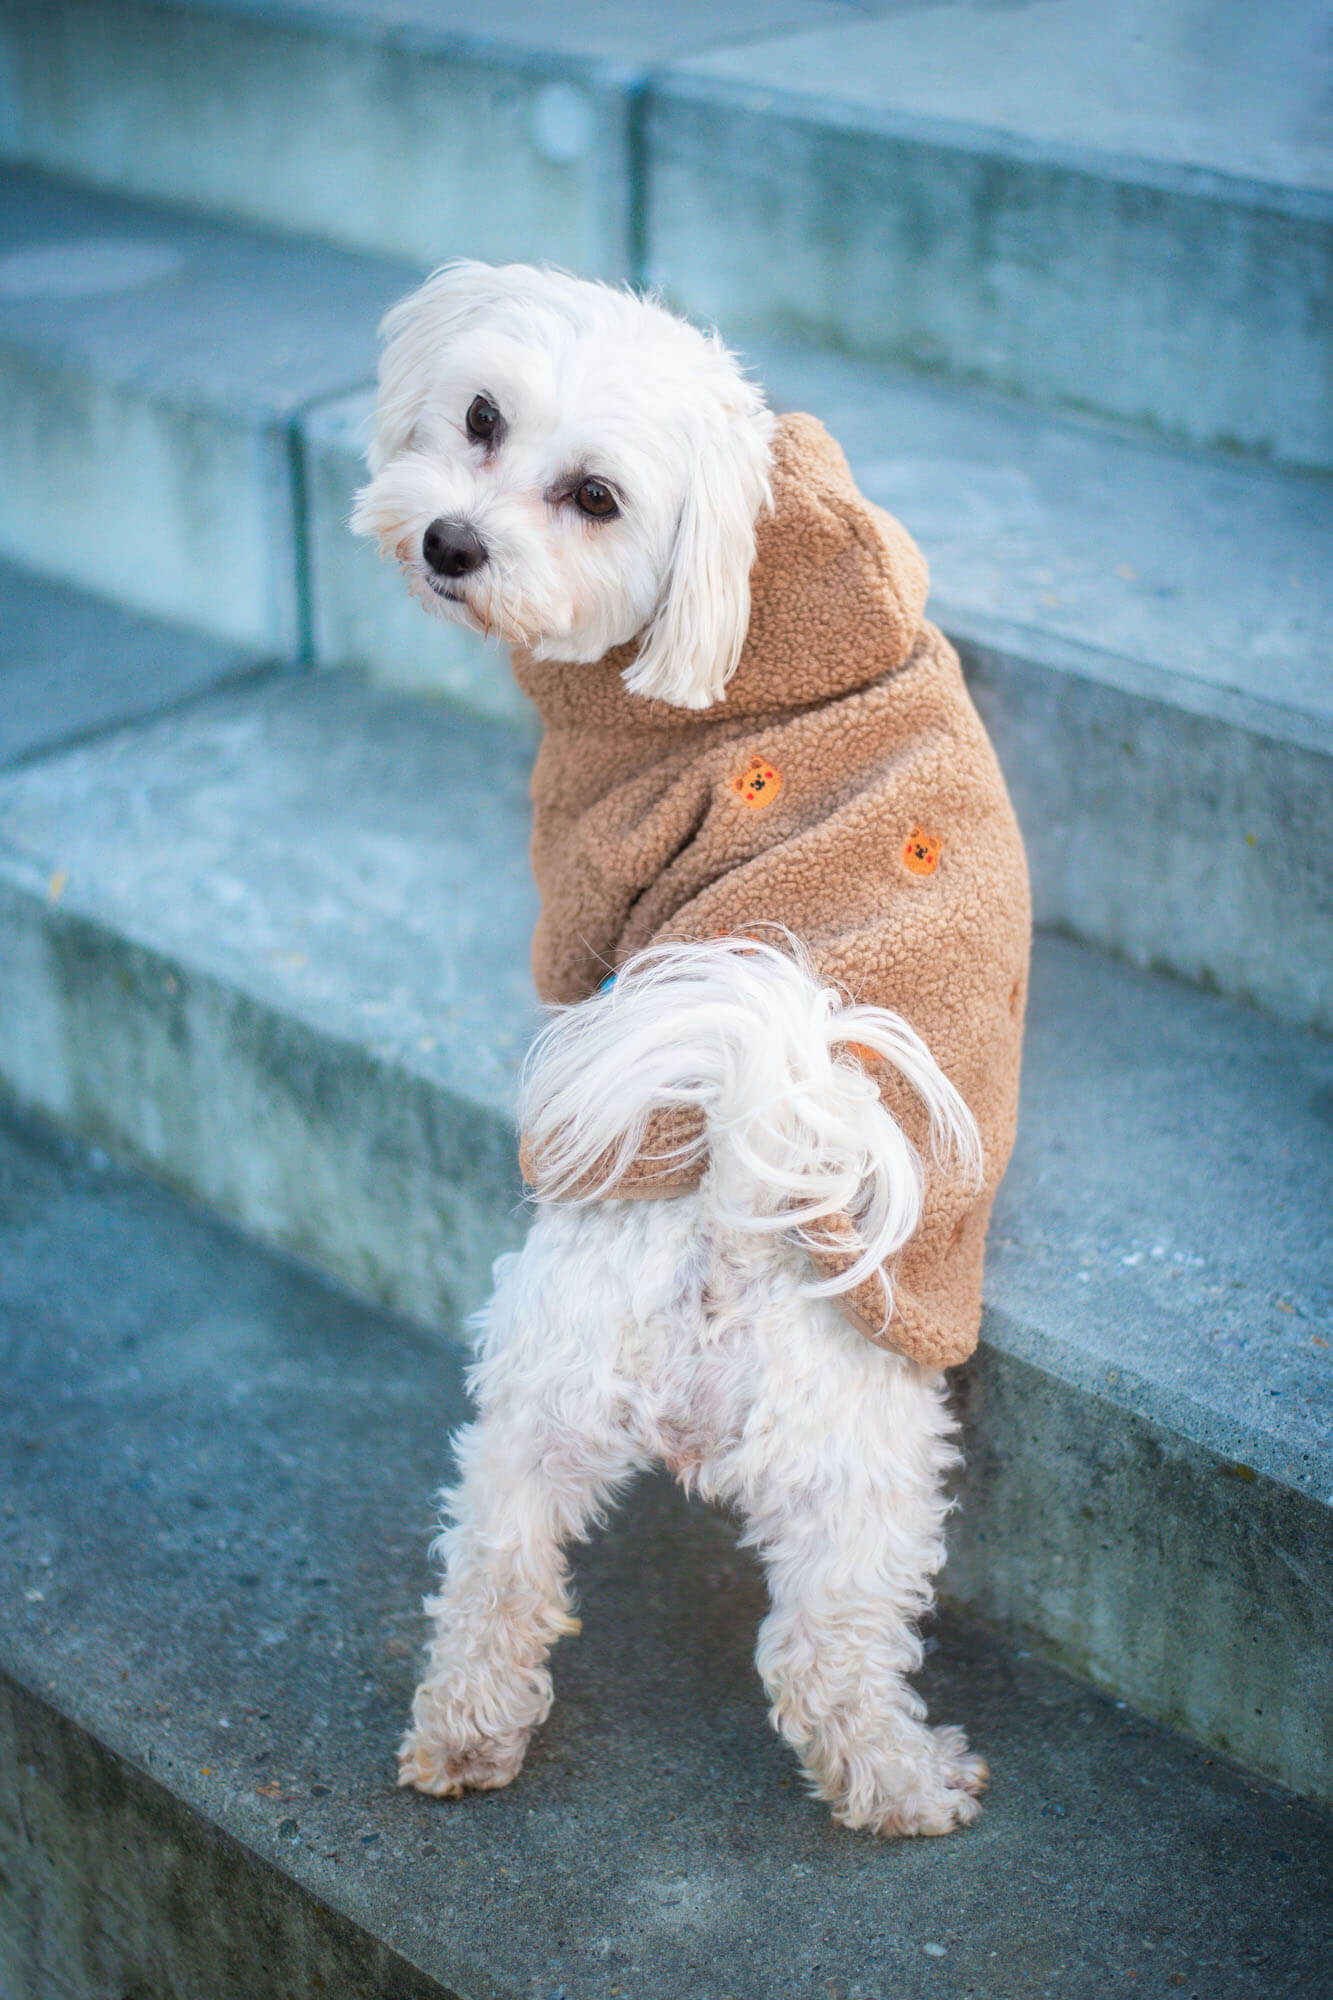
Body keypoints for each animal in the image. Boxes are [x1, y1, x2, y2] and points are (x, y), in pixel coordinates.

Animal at [350, 266, 1016, 1840]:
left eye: (594, 496)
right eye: (480, 418)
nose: (451, 540)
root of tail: (730, 1207)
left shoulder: (580, 881)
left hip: (563, 1392)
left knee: (500, 1567)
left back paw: (467, 1734)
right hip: (840, 1459)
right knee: (812, 1655)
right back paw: (909, 1785)